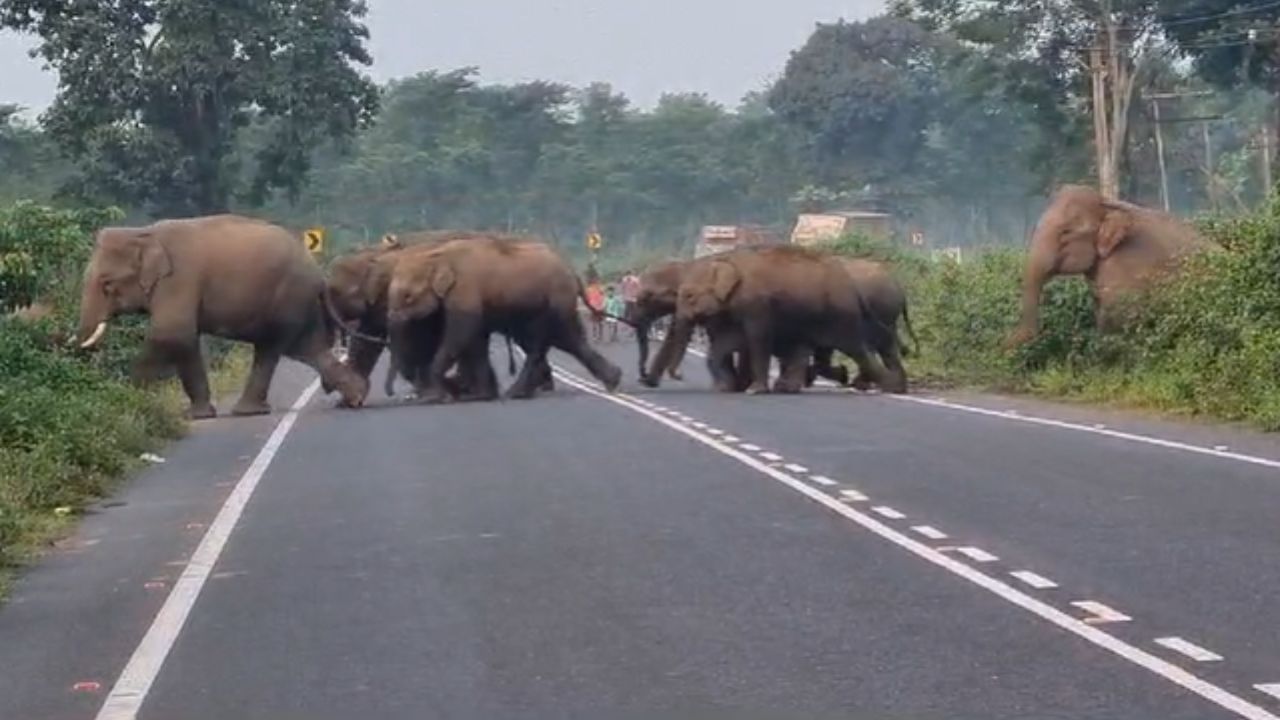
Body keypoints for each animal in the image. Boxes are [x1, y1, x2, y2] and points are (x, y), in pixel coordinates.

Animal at [78, 212, 371, 415]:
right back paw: (355, 397)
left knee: (273, 348)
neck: (143, 233)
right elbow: (184, 341)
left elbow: (171, 334)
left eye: (106, 284)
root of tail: (319, 274)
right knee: (305, 348)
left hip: (288, 297)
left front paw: (128, 402)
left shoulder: (179, 280)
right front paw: (197, 416)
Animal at [386, 235, 622, 404]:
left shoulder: (465, 290)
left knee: (549, 341)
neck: (436, 254)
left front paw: (442, 395)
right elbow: (476, 339)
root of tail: (573, 272)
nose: (405, 395)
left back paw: (516, 393)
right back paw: (612, 381)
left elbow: (461, 333)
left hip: (555, 300)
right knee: (564, 340)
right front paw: (479, 396)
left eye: (407, 296)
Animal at [640, 245, 901, 392]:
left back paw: (888, 386)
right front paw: (728, 388)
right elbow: (726, 342)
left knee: (857, 347)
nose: (679, 375)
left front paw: (753, 390)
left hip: (841, 313)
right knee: (806, 348)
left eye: (689, 296)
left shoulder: (757, 304)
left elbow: (756, 338)